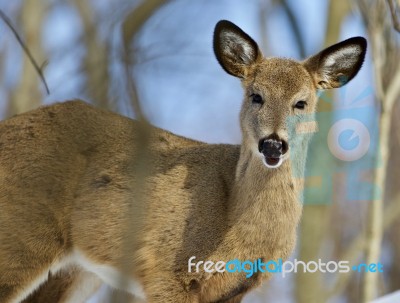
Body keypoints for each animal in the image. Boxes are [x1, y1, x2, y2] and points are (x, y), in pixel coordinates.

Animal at [0, 20, 366, 302]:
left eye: (301, 102)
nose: (273, 144)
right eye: (256, 96)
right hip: (21, 232)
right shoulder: (167, 271)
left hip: (75, 270)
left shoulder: (234, 290)